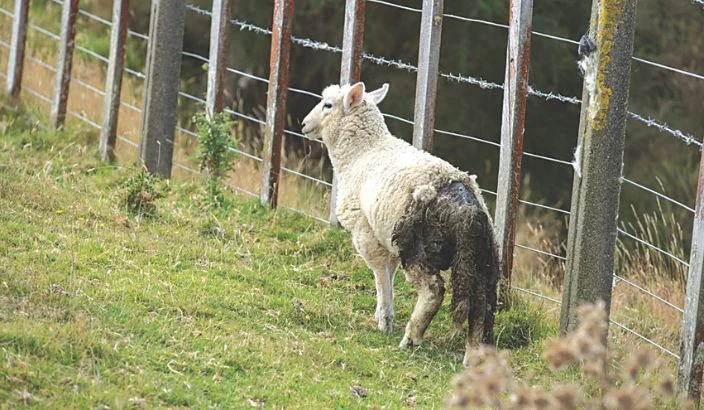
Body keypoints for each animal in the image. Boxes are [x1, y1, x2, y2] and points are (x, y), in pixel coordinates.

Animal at [301, 82, 499, 366]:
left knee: (433, 290)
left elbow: (380, 274)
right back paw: (473, 356)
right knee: (482, 302)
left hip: (418, 245)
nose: (304, 124)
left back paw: (411, 338)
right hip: (482, 257)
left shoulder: (366, 232)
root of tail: (468, 208)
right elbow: (390, 272)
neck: (361, 153)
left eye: (327, 105)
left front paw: (384, 319)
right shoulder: (385, 235)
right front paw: (385, 313)